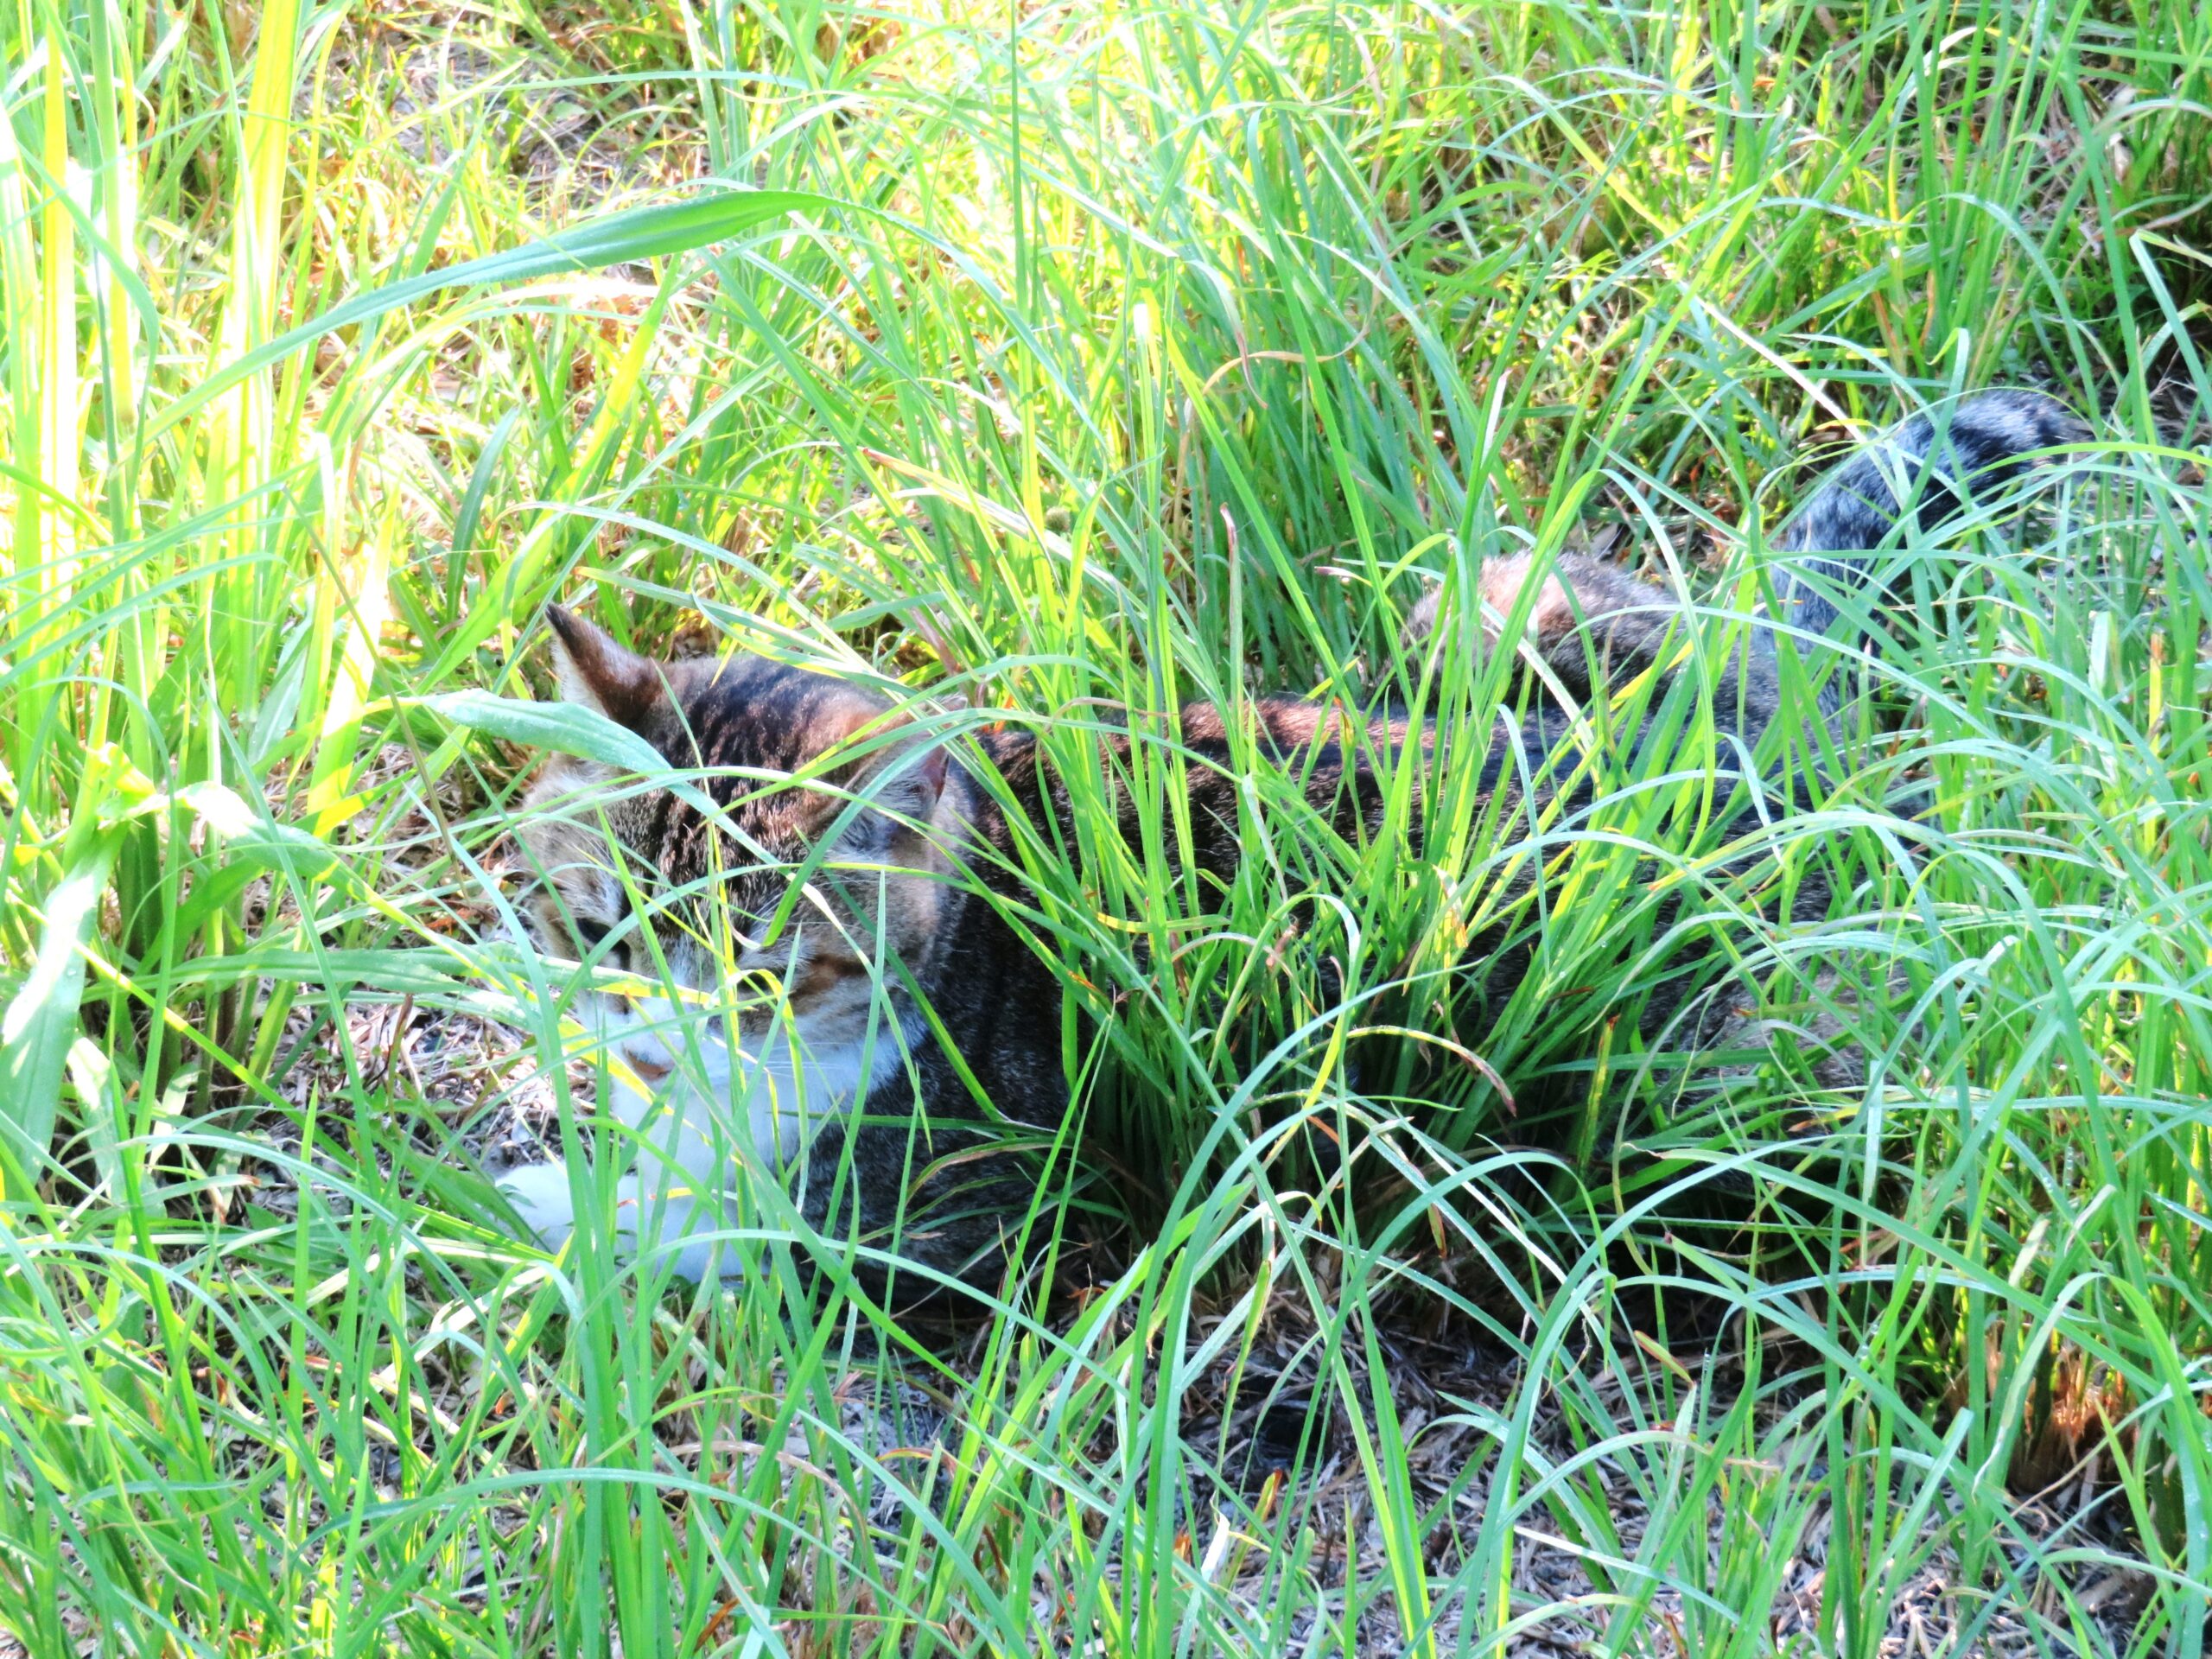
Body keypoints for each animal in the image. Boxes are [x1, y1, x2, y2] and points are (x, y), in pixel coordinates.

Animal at [498, 393, 2088, 1300]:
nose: (646, 1043)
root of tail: (1745, 700)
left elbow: (737, 1227)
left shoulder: (999, 1206)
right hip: (1492, 598)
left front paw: (539, 1212)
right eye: (595, 930)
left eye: (760, 980)